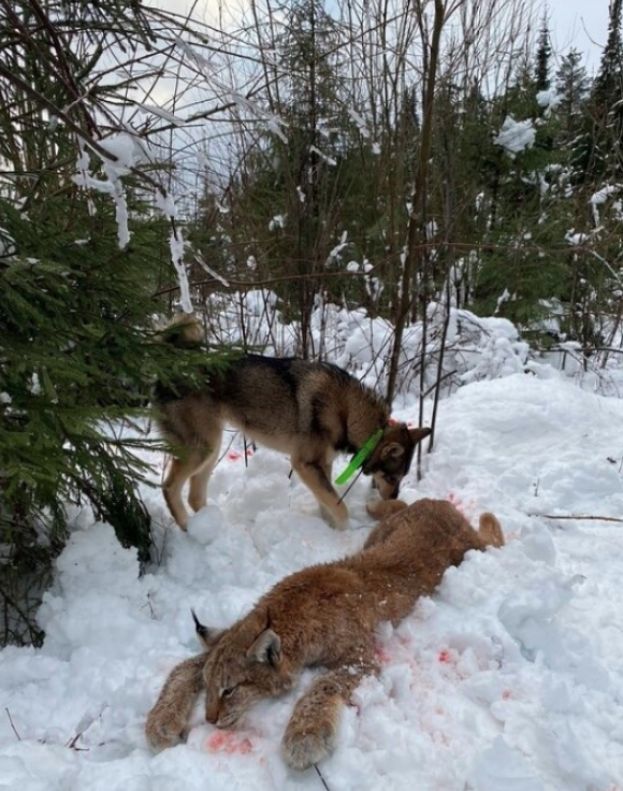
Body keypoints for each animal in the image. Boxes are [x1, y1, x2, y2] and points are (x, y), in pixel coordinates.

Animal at [154, 312, 432, 528]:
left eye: (402, 478)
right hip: (202, 448)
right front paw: (344, 534)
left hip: (212, 447)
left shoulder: (322, 465)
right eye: (392, 478)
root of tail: (172, 361)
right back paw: (188, 528)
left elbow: (327, 504)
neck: (349, 414)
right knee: (169, 487)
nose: (393, 499)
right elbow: (340, 508)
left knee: (194, 495)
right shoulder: (304, 464)